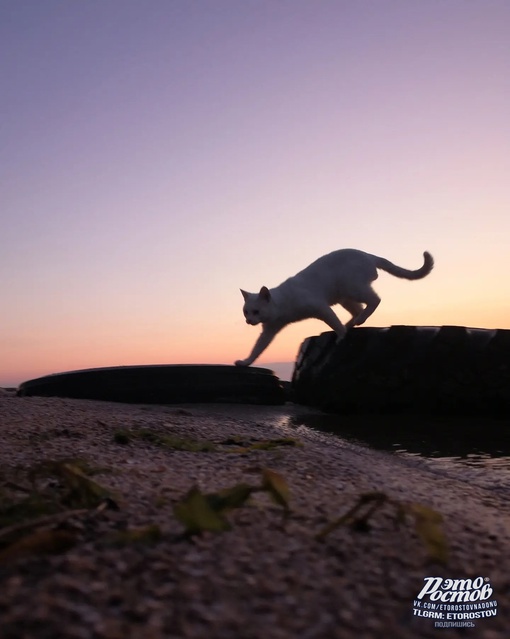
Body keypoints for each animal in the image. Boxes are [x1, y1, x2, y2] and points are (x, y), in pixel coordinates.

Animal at [235, 251, 434, 370]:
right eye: (246, 312)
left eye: (256, 312)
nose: (248, 321)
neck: (282, 306)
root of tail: (368, 255)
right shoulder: (269, 330)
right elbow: (257, 349)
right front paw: (245, 362)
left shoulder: (321, 308)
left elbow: (334, 322)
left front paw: (341, 336)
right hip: (345, 296)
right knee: (358, 310)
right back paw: (353, 323)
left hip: (352, 288)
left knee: (375, 300)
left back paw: (356, 323)